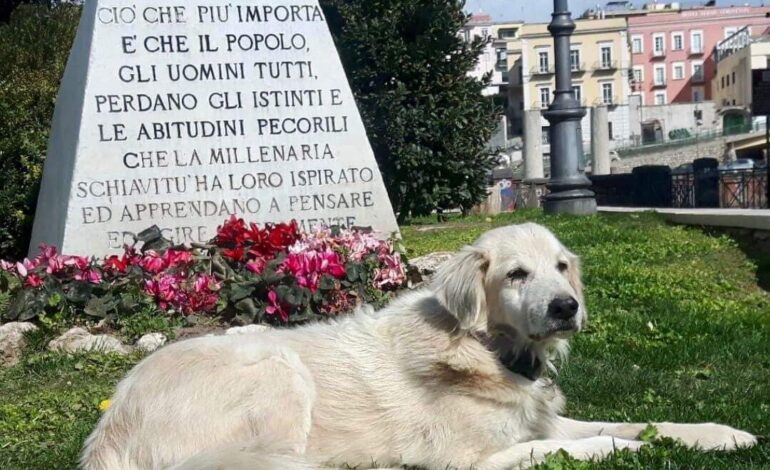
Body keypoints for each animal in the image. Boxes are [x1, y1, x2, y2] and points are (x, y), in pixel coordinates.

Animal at [81, 222, 752, 468]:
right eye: (517, 275)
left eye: (562, 267)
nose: (567, 307)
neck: (484, 350)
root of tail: (111, 429)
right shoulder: (475, 461)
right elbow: (591, 444)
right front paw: (626, 448)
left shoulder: (537, 422)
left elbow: (642, 422)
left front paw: (721, 434)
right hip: (272, 364)